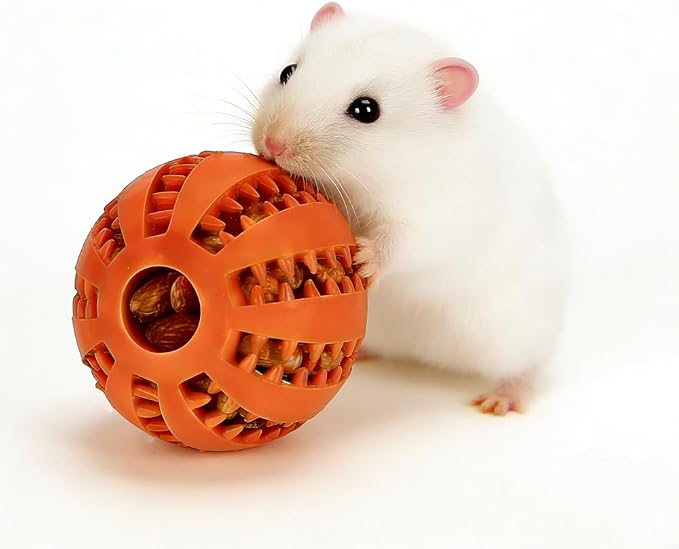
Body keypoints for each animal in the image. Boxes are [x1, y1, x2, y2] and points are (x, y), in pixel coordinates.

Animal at [250, 3, 568, 415]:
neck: (369, 173)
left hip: (515, 333)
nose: (272, 145)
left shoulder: (432, 218)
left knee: (528, 366)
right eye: (287, 72)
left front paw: (364, 259)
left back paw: (499, 400)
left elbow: (402, 244)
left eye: (366, 109)